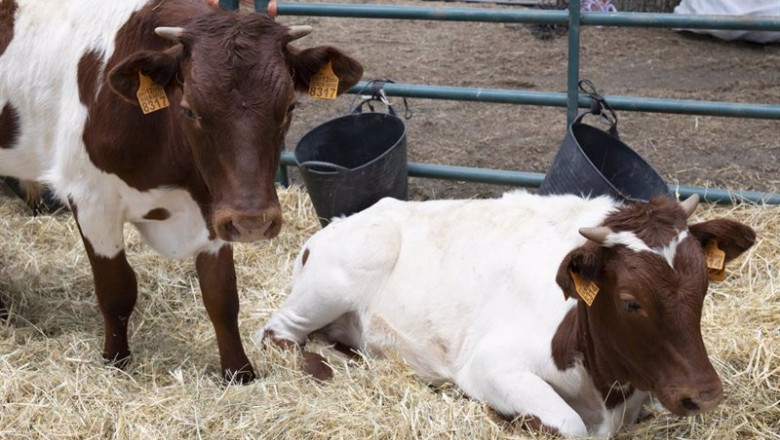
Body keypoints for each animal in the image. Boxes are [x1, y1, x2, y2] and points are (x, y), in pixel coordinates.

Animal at [0, 0, 362, 383]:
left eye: (290, 106)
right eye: (189, 110)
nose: (254, 222)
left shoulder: (215, 209)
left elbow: (221, 295)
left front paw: (239, 372)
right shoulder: (91, 200)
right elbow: (116, 289)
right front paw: (116, 361)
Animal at [258, 192, 756, 437]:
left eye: (703, 286)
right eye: (631, 301)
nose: (704, 394)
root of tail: (339, 222)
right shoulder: (491, 365)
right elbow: (571, 426)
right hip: (333, 282)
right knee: (276, 335)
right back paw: (323, 366)